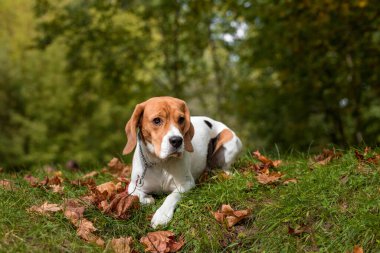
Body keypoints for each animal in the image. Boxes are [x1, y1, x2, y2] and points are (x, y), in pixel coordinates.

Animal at [123, 96, 242, 227]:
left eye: (181, 119)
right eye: (157, 120)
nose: (177, 140)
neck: (160, 163)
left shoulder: (186, 184)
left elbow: (172, 196)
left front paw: (162, 215)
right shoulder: (133, 186)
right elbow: (135, 195)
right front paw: (147, 199)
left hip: (230, 142)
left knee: (225, 168)